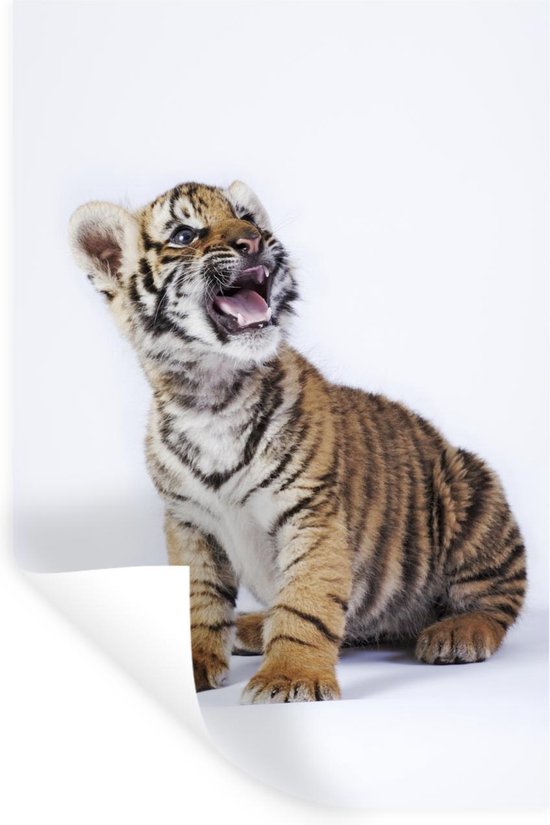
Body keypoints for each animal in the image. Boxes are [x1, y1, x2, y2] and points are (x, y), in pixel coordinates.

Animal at [69, 180, 527, 703]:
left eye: (247, 217)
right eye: (185, 234)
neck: (210, 396)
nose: (252, 240)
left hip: (468, 489)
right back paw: (254, 627)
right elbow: (198, 601)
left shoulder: (311, 510)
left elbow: (306, 600)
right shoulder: (189, 523)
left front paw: (290, 677)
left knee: (495, 602)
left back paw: (457, 633)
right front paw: (193, 664)